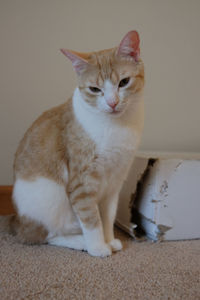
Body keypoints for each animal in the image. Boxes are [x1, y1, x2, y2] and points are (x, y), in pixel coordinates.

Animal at [10, 31, 144, 258]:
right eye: (95, 89)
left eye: (124, 82)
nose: (113, 102)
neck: (116, 127)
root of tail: (19, 222)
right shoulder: (82, 183)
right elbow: (92, 220)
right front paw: (98, 246)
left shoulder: (114, 182)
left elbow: (107, 218)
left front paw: (110, 240)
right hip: (52, 197)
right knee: (45, 236)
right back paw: (81, 242)